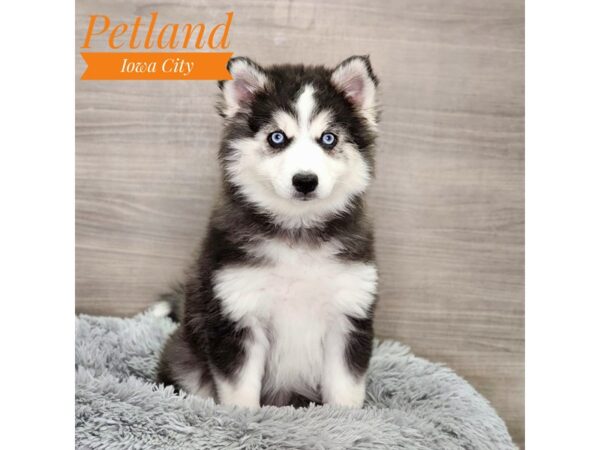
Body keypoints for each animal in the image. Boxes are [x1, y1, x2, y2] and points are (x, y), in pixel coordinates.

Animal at [156, 55, 380, 408]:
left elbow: (346, 391)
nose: (305, 181)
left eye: (328, 138)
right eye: (277, 137)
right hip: (186, 358)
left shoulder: (349, 315)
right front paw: (245, 419)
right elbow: (239, 392)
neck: (297, 232)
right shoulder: (238, 316)